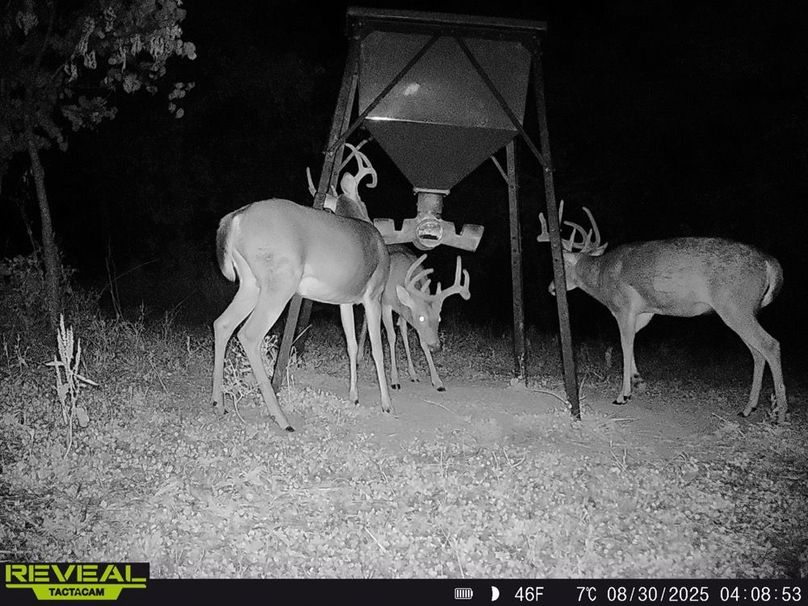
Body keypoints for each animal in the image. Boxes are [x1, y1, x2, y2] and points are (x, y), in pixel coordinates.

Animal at [211, 144, 392, 432]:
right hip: (280, 283)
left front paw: (354, 396)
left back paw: (219, 405)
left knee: (223, 323)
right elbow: (376, 349)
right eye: (364, 199)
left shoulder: (344, 300)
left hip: (251, 283)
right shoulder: (374, 294)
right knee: (249, 334)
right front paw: (386, 404)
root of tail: (235, 218)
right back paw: (282, 419)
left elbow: (352, 345)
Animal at [356, 245, 471, 391]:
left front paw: (438, 382)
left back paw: (413, 374)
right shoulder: (385, 304)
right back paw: (359, 357)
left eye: (439, 319)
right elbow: (391, 337)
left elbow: (421, 342)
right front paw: (394, 380)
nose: (436, 346)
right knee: (366, 319)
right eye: (421, 318)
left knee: (403, 329)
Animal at [537, 201, 787, 422]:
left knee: (770, 344)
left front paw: (622, 395)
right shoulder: (645, 312)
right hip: (740, 310)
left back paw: (780, 415)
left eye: (560, 265)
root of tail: (770, 263)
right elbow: (632, 340)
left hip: (735, 305)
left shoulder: (623, 306)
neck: (601, 277)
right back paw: (748, 408)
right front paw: (638, 380)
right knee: (757, 352)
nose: (550, 288)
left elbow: (624, 344)